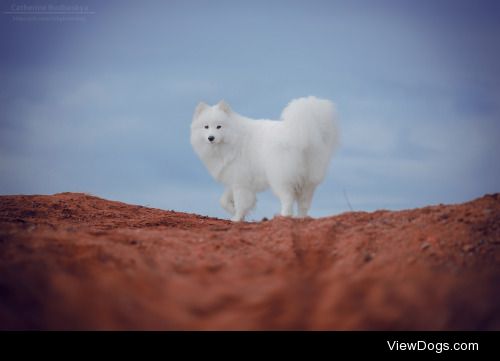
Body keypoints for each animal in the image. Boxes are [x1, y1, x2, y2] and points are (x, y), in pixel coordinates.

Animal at [189, 95, 338, 221]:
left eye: (219, 127)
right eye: (206, 127)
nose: (211, 138)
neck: (234, 138)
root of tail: (301, 134)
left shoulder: (240, 182)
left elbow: (241, 202)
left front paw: (237, 218)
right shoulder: (235, 178)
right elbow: (223, 201)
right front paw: (234, 211)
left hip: (280, 178)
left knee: (287, 198)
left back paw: (283, 216)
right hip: (308, 181)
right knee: (304, 204)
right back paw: (300, 219)